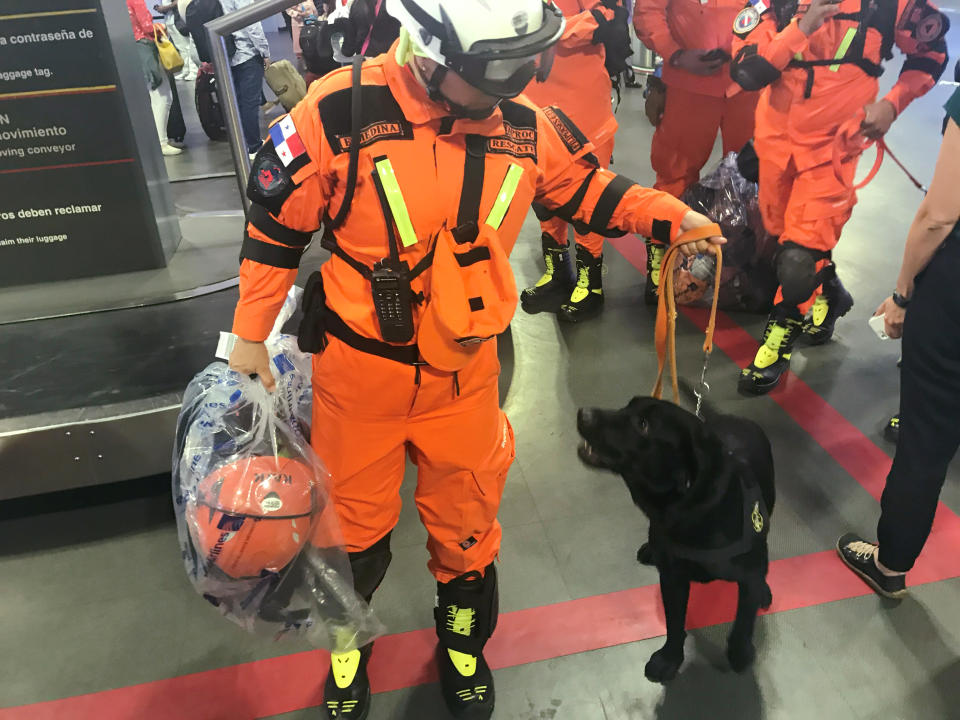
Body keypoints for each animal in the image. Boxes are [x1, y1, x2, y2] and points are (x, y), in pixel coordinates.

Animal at [572, 396, 776, 684]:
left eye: (643, 424)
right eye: (627, 405)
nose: (583, 413)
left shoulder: (747, 575)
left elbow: (744, 620)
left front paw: (740, 652)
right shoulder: (672, 577)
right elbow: (675, 622)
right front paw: (669, 659)